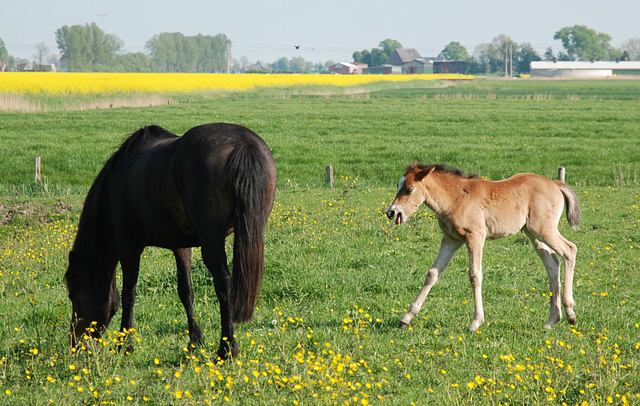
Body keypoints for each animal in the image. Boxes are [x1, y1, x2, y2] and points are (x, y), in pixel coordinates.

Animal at [65, 123, 278, 358]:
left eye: (73, 295)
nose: (75, 345)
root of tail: (242, 144)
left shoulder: (128, 245)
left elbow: (129, 293)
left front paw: (124, 344)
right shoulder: (181, 246)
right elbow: (186, 292)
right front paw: (195, 340)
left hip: (211, 240)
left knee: (224, 283)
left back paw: (227, 348)